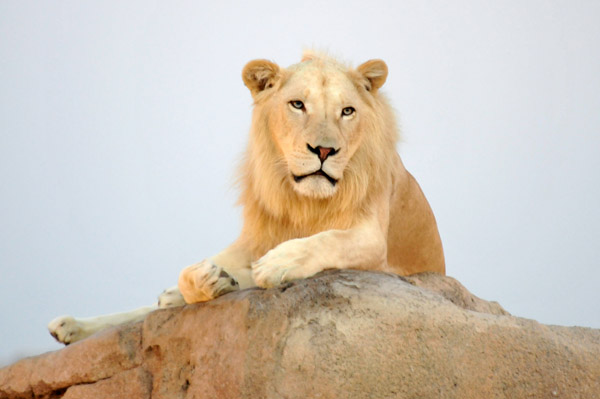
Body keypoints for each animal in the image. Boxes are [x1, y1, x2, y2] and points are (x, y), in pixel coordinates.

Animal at [49, 53, 442, 346]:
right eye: (297, 105)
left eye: (347, 111)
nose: (324, 150)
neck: (304, 201)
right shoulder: (253, 239)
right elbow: (187, 273)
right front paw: (207, 278)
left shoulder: (374, 241)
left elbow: (327, 239)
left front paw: (274, 263)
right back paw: (71, 324)